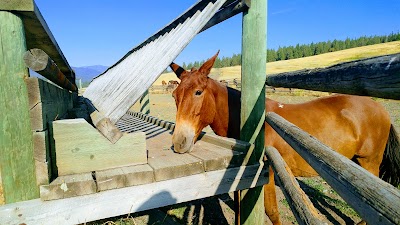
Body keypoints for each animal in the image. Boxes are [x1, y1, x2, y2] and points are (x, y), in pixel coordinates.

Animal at [169, 51, 400, 225]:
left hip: (369, 162)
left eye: (198, 92)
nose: (179, 143)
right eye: (174, 96)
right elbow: (238, 208)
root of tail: (379, 107)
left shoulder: (267, 174)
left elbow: (272, 212)